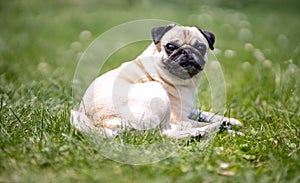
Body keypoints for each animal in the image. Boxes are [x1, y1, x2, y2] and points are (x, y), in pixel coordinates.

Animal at [70, 24, 241, 139]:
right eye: (170, 47)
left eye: (201, 47)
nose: (187, 52)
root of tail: (101, 125)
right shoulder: (178, 117)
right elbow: (196, 121)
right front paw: (226, 127)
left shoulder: (188, 109)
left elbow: (206, 113)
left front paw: (230, 120)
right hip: (157, 93)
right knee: (164, 134)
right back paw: (208, 131)